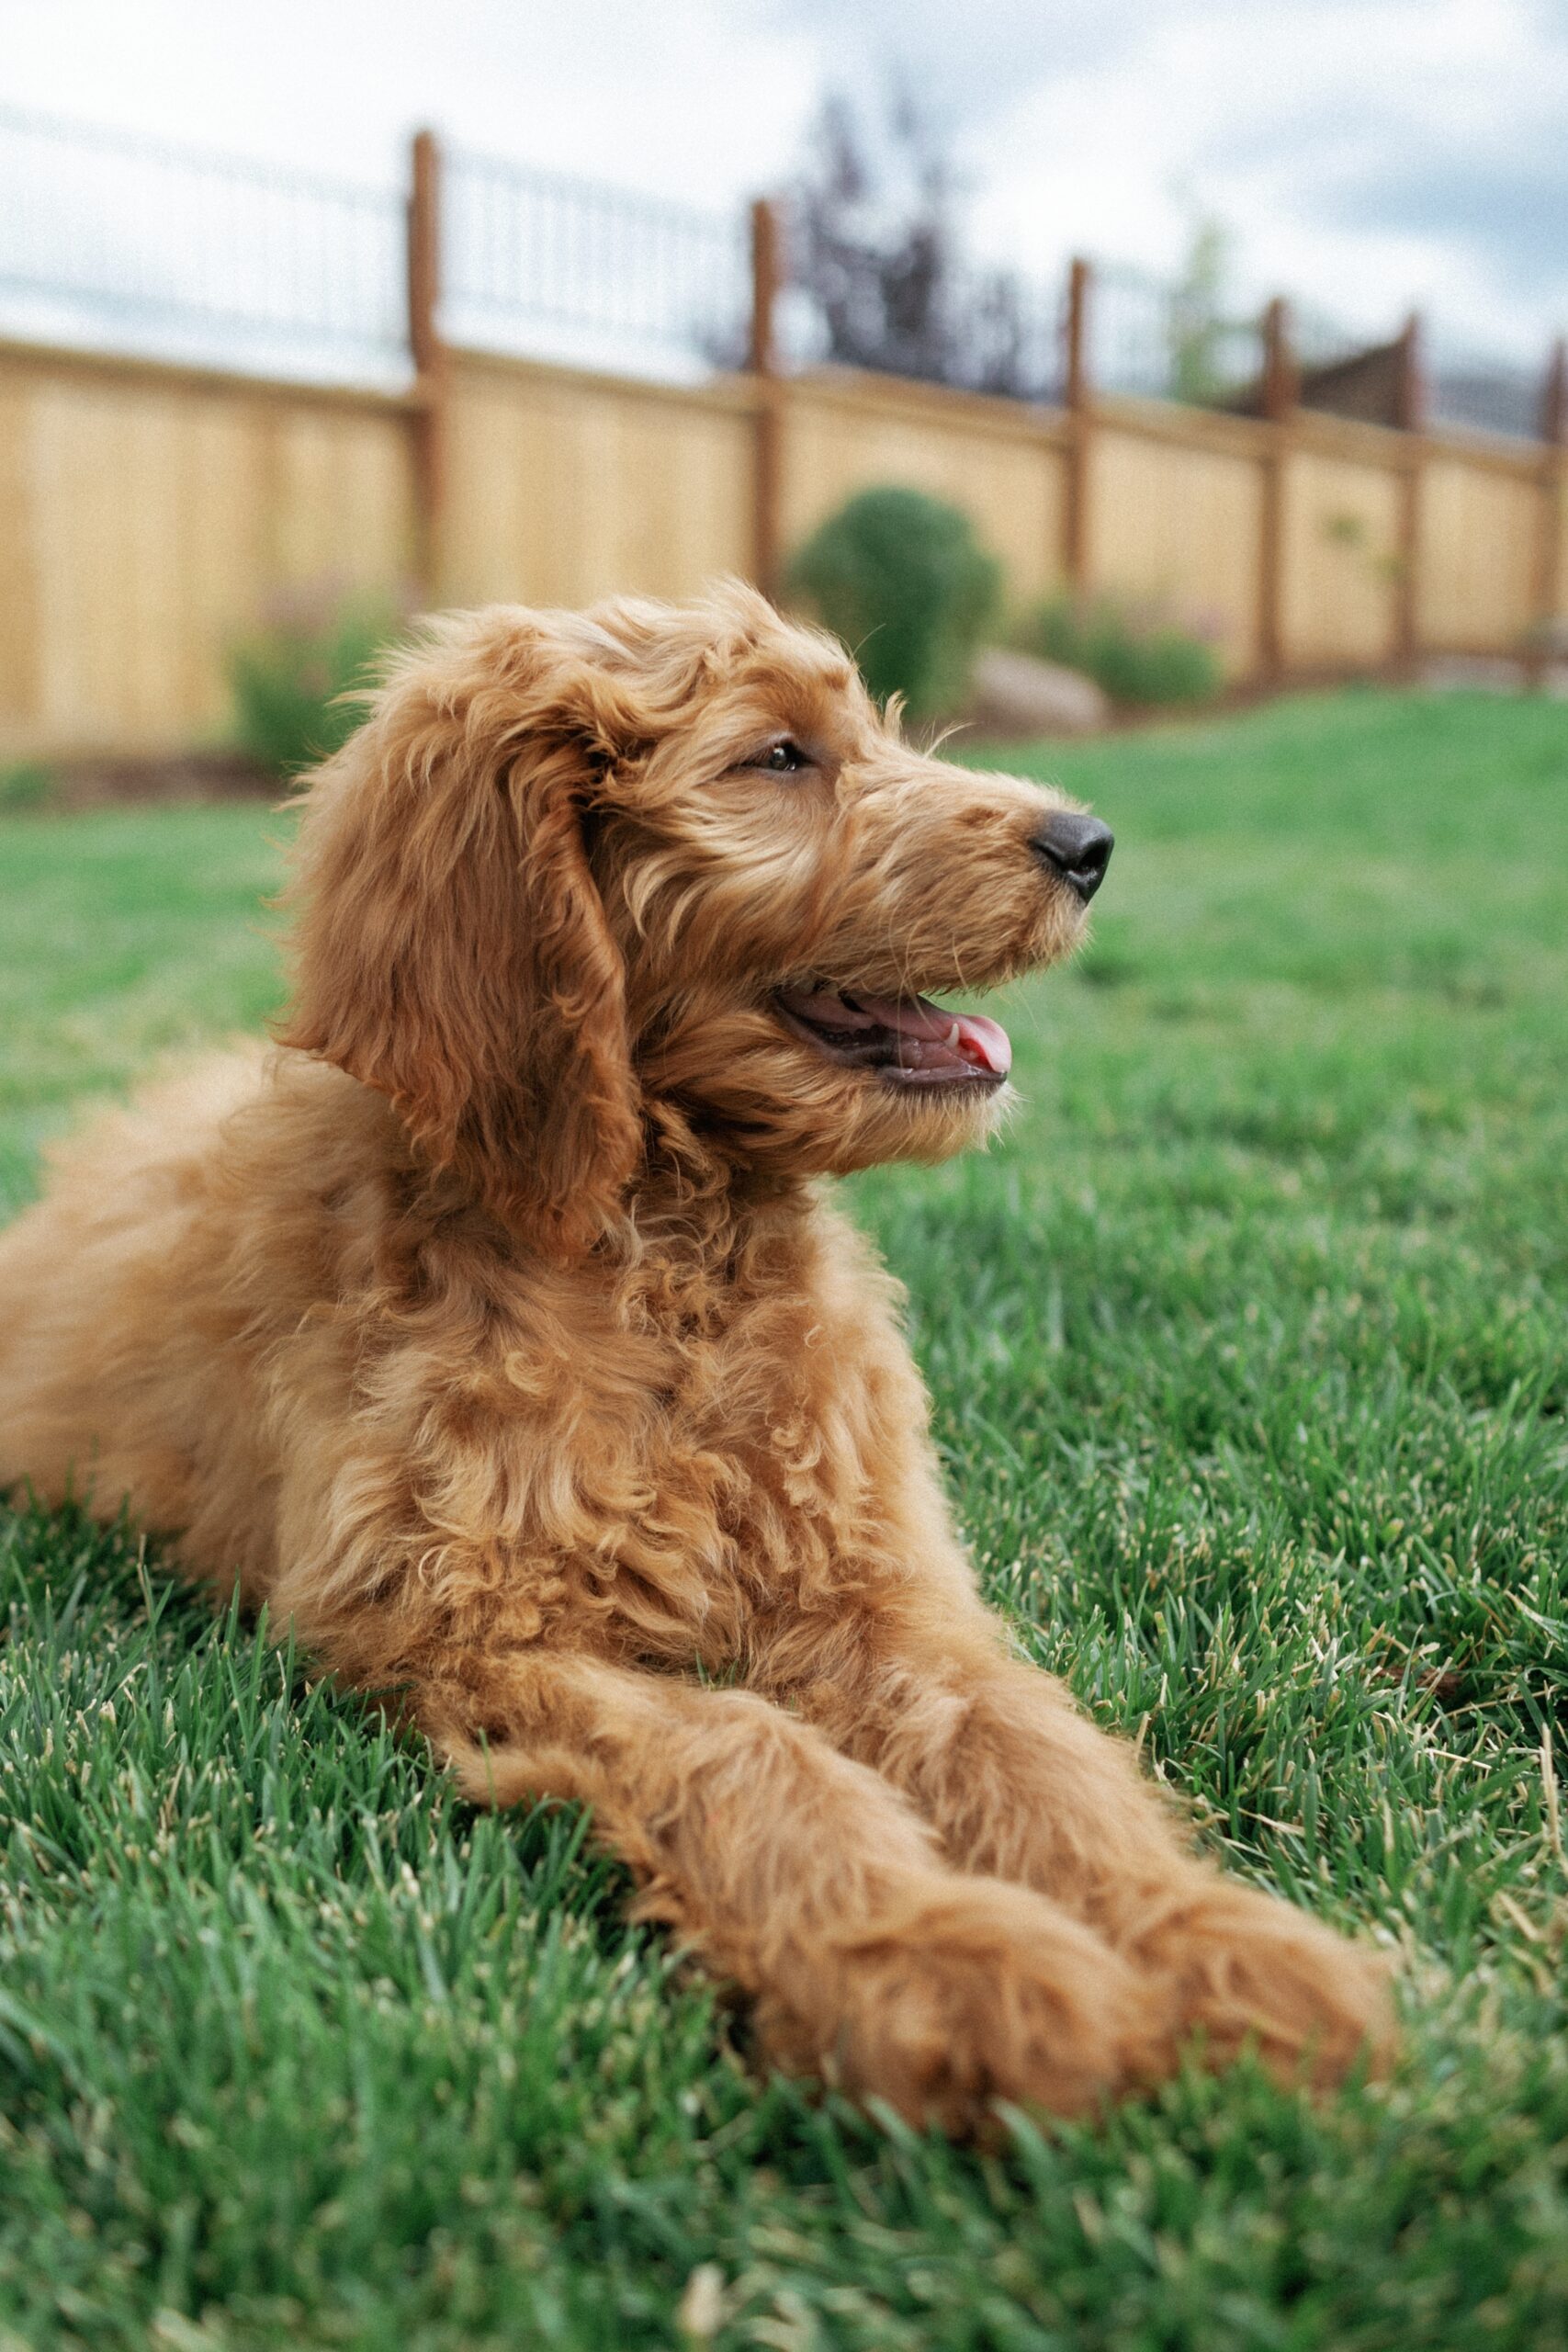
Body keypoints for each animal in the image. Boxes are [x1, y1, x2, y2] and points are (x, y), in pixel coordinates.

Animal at [0, 582, 1392, 2135]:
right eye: (777, 757)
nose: (1086, 845)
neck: (662, 1267)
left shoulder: (870, 1587)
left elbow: (1025, 1749)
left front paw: (1212, 1946)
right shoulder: (459, 1624)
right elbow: (751, 1750)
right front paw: (950, 1968)